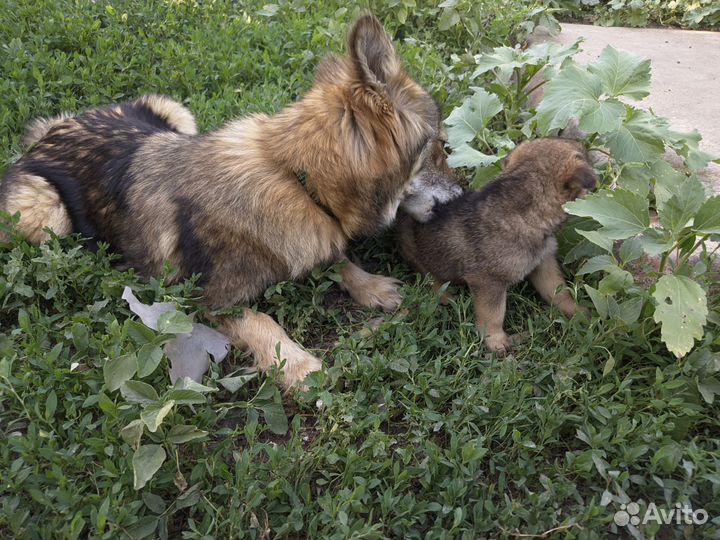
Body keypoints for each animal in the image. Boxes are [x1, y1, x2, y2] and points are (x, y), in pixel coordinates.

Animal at [0, 14, 458, 386]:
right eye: (440, 148)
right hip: (45, 216)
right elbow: (263, 320)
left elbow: (338, 259)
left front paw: (372, 286)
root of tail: (53, 130)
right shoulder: (206, 301)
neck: (294, 178)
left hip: (176, 112)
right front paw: (298, 366)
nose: (460, 199)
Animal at [396, 137, 592, 352]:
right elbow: (493, 314)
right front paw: (496, 341)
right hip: (419, 255)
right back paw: (446, 295)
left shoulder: (544, 263)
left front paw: (578, 312)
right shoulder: (488, 282)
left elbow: (558, 291)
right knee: (431, 278)